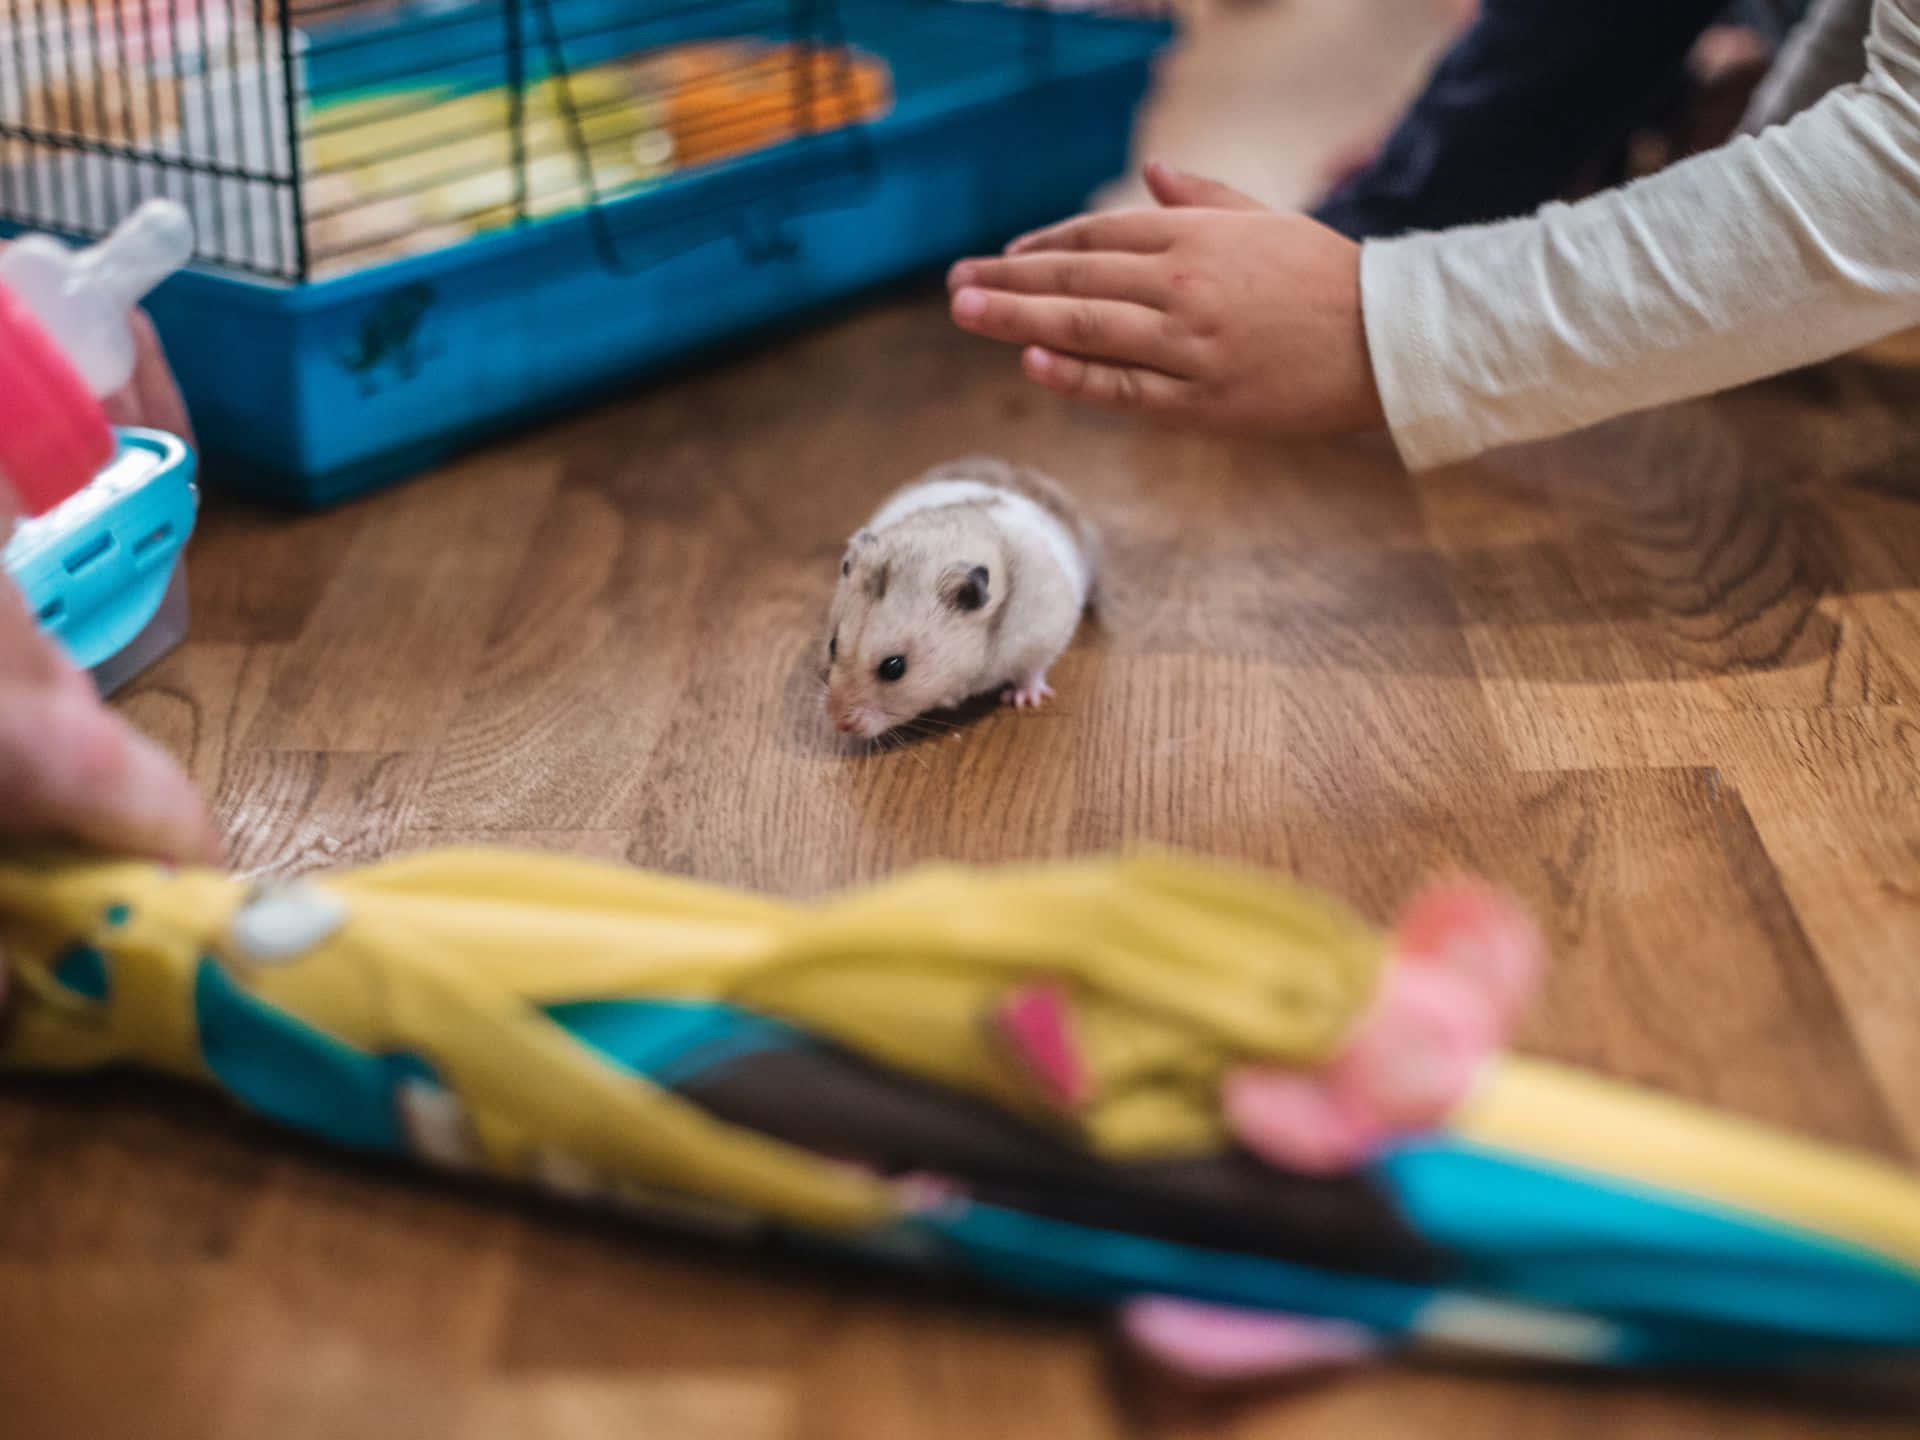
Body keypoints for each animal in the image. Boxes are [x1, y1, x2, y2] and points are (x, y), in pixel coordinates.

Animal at [821, 453, 1098, 744]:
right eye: (832, 645)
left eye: (894, 668)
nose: (838, 722)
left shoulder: (1045, 634)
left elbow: (1032, 670)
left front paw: (1023, 700)